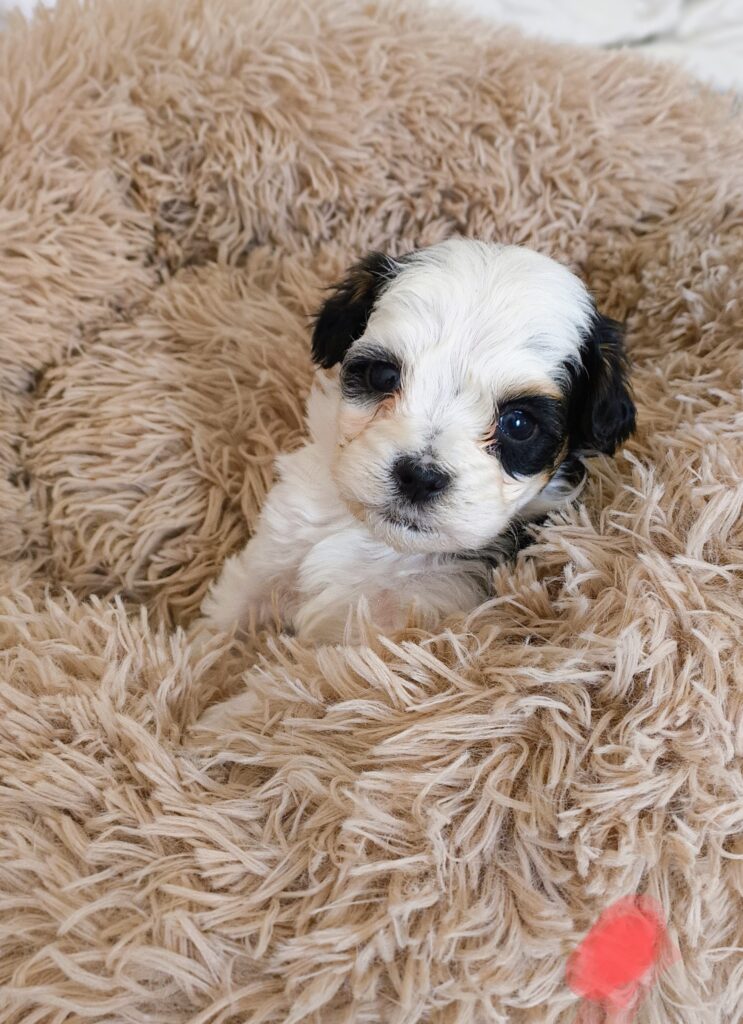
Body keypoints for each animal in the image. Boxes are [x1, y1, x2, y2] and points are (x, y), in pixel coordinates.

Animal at [201, 238, 635, 645]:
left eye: (518, 423)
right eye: (383, 376)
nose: (419, 477)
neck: (381, 542)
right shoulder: (274, 552)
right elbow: (224, 626)